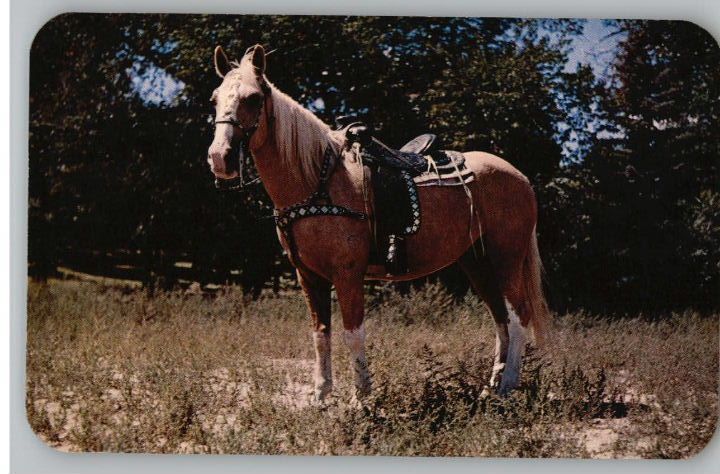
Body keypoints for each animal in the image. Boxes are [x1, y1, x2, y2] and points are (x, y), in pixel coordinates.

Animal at [208, 43, 552, 400]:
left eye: (253, 98)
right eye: (214, 99)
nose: (220, 158)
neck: (318, 180)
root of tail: (520, 177)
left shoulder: (347, 274)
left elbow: (352, 333)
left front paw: (361, 398)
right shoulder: (308, 276)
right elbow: (320, 334)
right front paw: (321, 395)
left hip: (506, 259)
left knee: (518, 317)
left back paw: (507, 387)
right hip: (477, 262)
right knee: (500, 320)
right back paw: (490, 388)